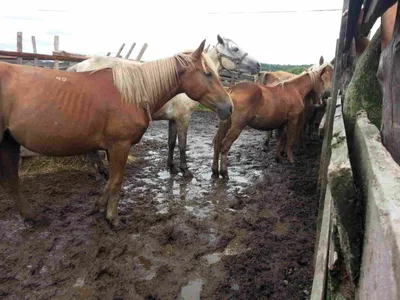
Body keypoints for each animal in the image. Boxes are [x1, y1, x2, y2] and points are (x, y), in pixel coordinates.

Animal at [0, 39, 233, 227]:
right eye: (208, 73)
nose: (229, 107)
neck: (132, 94)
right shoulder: (121, 145)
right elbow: (118, 180)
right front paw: (112, 218)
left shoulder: (113, 147)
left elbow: (112, 179)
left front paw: (99, 207)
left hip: (9, 141)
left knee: (12, 180)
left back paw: (32, 216)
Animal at [69, 34, 260, 178]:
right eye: (235, 49)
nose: (258, 64)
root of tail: (78, 67)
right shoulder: (183, 118)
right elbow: (182, 145)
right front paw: (185, 170)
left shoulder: (173, 119)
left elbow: (171, 143)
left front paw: (172, 167)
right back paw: (98, 172)